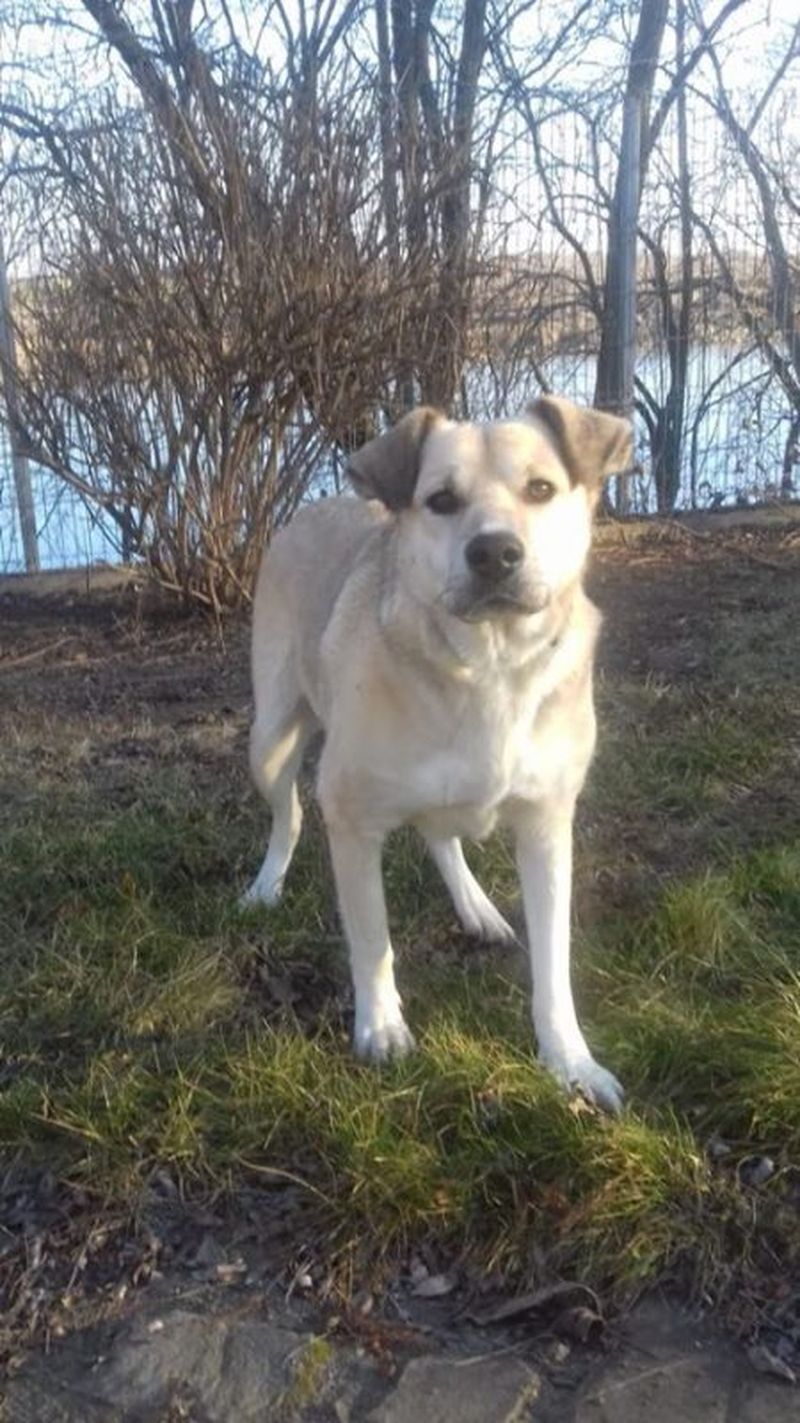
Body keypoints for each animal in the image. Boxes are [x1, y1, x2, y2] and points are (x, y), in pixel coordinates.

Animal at [243, 397, 632, 1112]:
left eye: (541, 489)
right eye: (441, 500)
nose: (495, 552)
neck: (489, 666)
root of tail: (316, 505)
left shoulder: (547, 826)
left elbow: (554, 961)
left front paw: (569, 1059)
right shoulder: (351, 819)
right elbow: (372, 938)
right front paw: (381, 1026)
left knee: (439, 831)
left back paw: (475, 905)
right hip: (271, 737)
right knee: (289, 815)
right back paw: (266, 884)